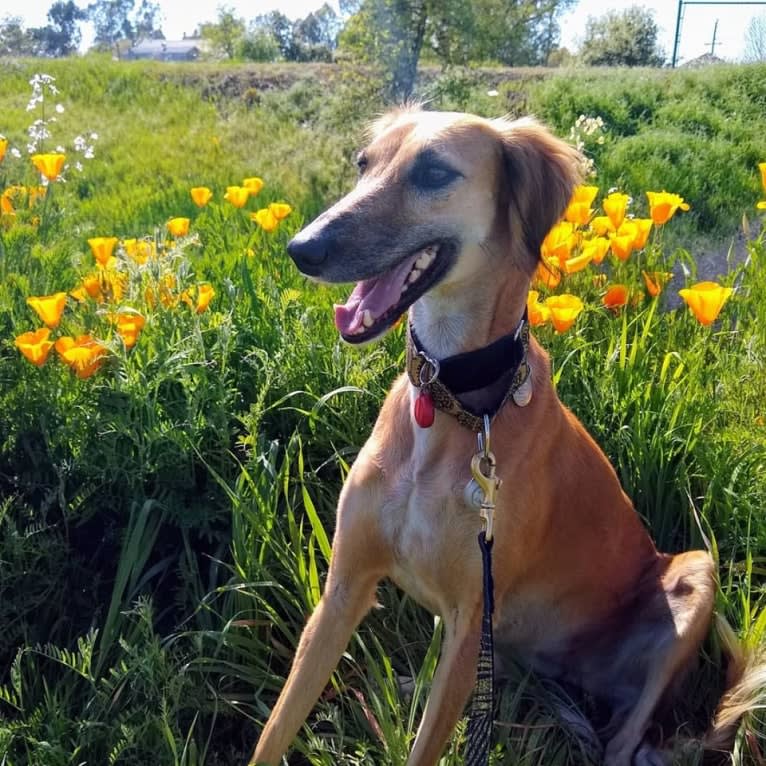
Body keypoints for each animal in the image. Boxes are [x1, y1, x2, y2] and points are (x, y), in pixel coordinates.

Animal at [252, 108, 760, 766]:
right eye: (364, 163)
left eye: (434, 172)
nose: (302, 248)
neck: (455, 400)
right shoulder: (344, 589)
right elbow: (277, 727)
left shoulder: (472, 619)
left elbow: (426, 746)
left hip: (694, 575)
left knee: (622, 740)